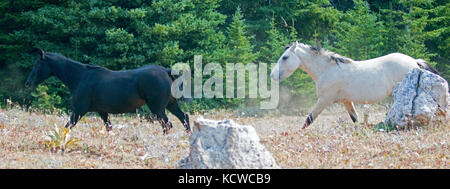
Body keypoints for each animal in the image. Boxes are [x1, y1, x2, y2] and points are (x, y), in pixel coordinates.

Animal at [25, 49, 190, 134]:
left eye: (37, 64)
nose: (28, 83)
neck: (80, 77)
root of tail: (166, 71)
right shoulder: (102, 111)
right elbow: (109, 127)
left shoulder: (79, 109)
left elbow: (67, 127)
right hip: (170, 104)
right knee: (184, 118)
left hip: (157, 107)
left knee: (167, 124)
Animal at [270, 41, 440, 128]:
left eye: (285, 57)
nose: (272, 75)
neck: (327, 70)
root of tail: (415, 62)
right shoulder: (346, 101)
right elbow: (355, 119)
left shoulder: (324, 100)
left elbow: (308, 120)